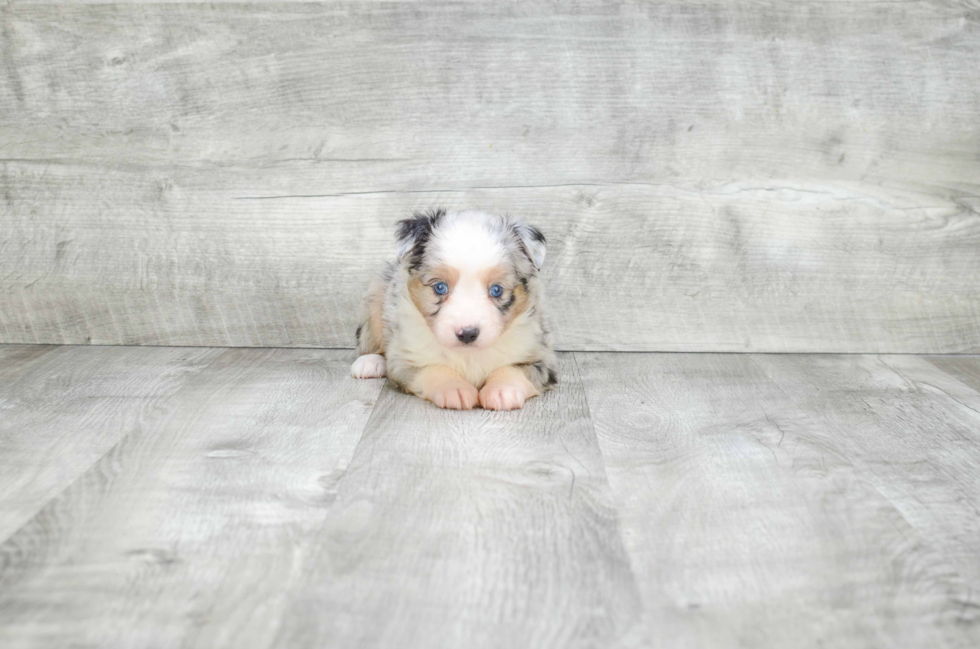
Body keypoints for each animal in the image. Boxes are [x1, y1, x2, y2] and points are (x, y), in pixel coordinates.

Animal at [352, 209, 556, 410]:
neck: (468, 355)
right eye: (440, 287)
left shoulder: (541, 357)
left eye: (496, 290)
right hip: (376, 296)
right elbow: (433, 368)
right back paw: (369, 362)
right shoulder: (404, 358)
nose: (467, 334)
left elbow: (513, 369)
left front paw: (502, 391)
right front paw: (455, 389)